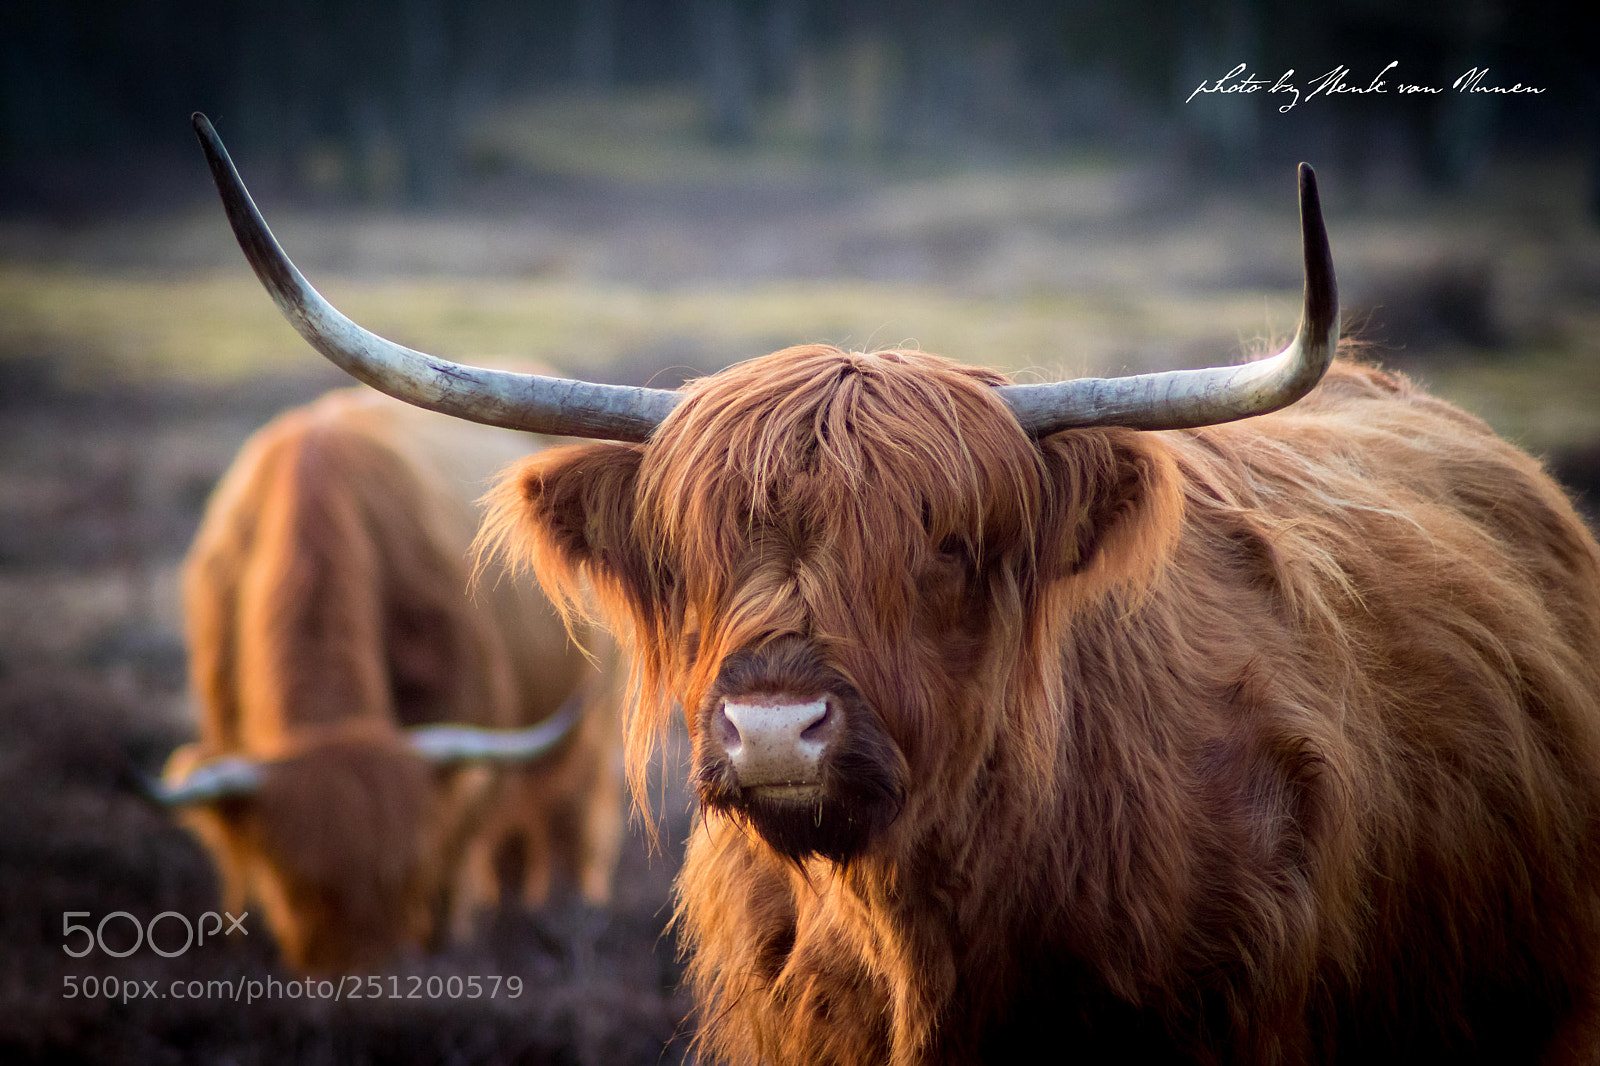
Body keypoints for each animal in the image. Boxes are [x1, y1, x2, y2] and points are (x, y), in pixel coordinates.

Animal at [158, 386, 625, 975]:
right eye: (298, 887)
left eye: (406, 874)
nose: (365, 980)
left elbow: (451, 867)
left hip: (588, 731)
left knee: (567, 816)